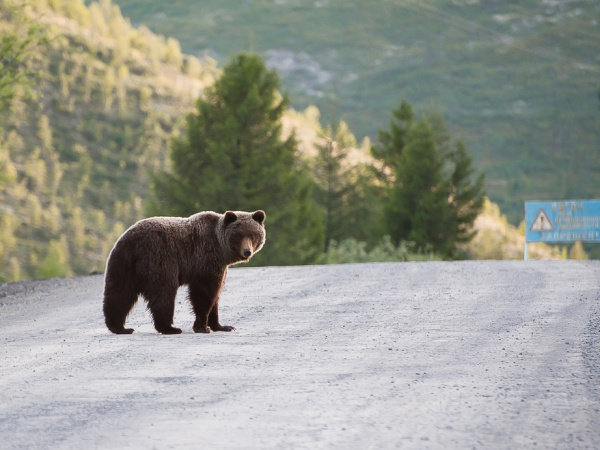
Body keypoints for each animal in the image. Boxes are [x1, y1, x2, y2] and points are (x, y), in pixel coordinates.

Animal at [103, 211, 264, 334]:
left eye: (253, 234)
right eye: (239, 235)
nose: (247, 251)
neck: (222, 250)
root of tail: (132, 242)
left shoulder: (220, 267)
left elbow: (215, 295)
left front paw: (223, 326)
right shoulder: (205, 257)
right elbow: (204, 293)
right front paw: (202, 327)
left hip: (122, 264)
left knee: (119, 294)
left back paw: (119, 327)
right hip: (158, 259)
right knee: (164, 293)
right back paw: (170, 328)